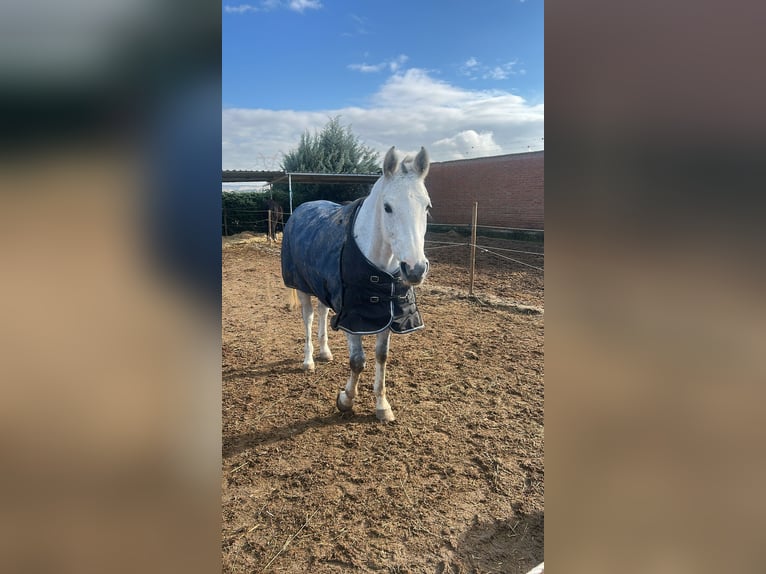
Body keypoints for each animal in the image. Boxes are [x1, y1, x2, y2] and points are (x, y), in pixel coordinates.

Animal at [281, 146, 431, 423]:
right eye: (387, 207)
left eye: (426, 206)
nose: (415, 269)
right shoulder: (352, 318)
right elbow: (358, 360)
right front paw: (346, 400)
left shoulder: (386, 312)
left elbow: (382, 356)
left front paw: (382, 405)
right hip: (302, 287)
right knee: (308, 318)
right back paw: (309, 361)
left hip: (324, 290)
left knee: (322, 313)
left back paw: (325, 352)